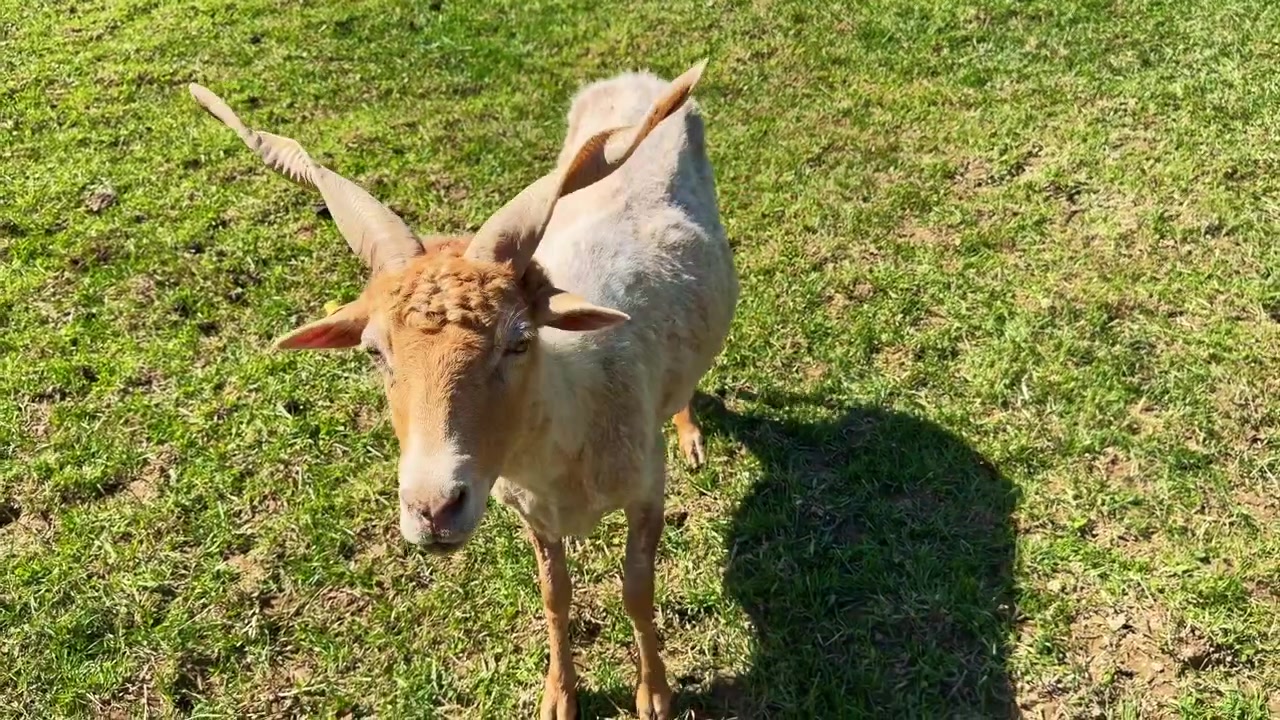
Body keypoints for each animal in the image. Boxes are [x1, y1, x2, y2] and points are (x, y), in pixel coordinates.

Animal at [188, 60, 737, 720]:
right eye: (374, 350)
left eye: (518, 340)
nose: (433, 509)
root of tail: (633, 76)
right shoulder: (532, 511)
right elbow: (555, 596)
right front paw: (559, 696)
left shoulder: (647, 489)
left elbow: (637, 590)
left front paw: (654, 693)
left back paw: (690, 433)